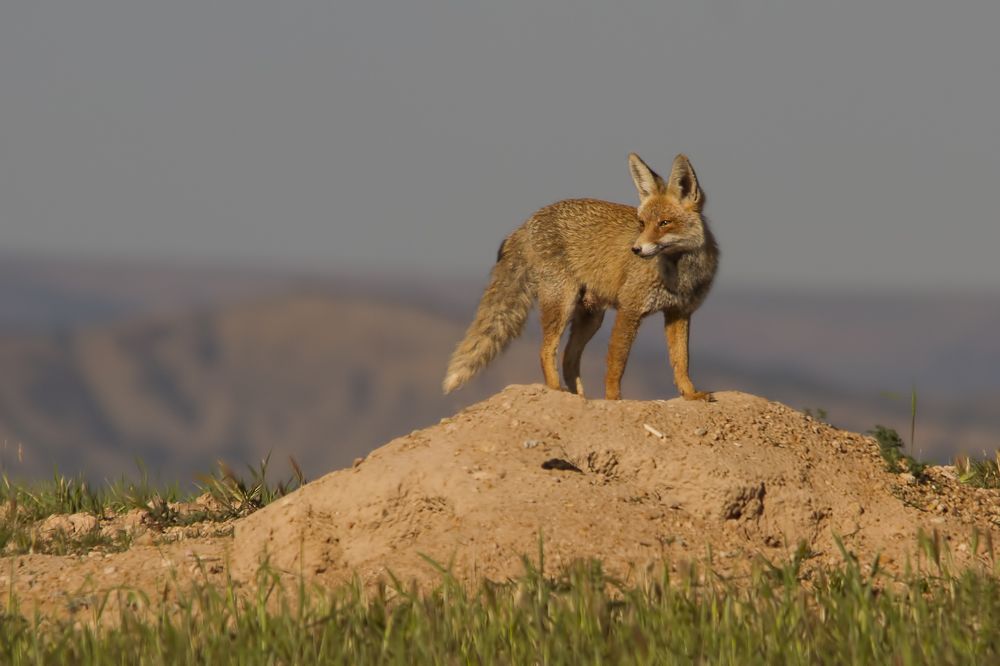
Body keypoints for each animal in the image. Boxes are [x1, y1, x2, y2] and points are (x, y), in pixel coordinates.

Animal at [443, 153, 719, 401]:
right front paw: (614, 400)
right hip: (562, 303)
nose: (636, 249)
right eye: (642, 224)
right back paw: (557, 391)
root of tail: (527, 222)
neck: (680, 274)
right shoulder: (630, 309)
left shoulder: (679, 313)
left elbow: (681, 361)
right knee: (546, 351)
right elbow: (617, 364)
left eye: (664, 223)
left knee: (568, 358)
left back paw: (579, 397)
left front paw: (691, 394)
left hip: (590, 316)